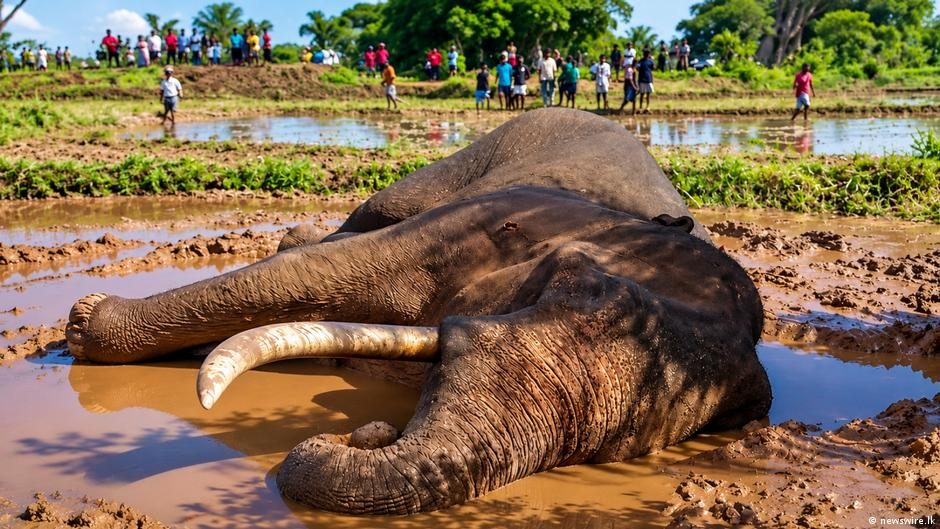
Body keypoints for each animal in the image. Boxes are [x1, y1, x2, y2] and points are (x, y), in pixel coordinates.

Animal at [65, 108, 772, 515]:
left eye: (627, 444)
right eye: (568, 284)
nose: (365, 431)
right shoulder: (491, 218)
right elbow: (329, 271)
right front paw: (83, 324)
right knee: (359, 224)